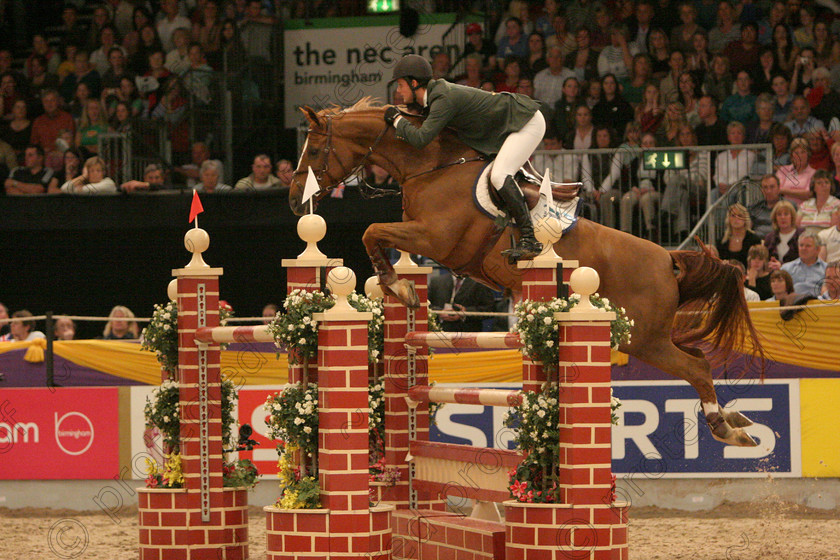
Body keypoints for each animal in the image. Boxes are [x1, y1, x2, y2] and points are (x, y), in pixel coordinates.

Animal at [292, 100, 764, 448]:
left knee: (696, 367)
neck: (432, 167)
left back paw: (727, 429)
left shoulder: (436, 238)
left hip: (642, 338)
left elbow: (372, 231)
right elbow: (378, 236)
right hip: (649, 336)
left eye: (313, 152)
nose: (297, 200)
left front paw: (400, 286)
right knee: (699, 357)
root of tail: (668, 259)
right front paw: (401, 284)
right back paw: (734, 417)